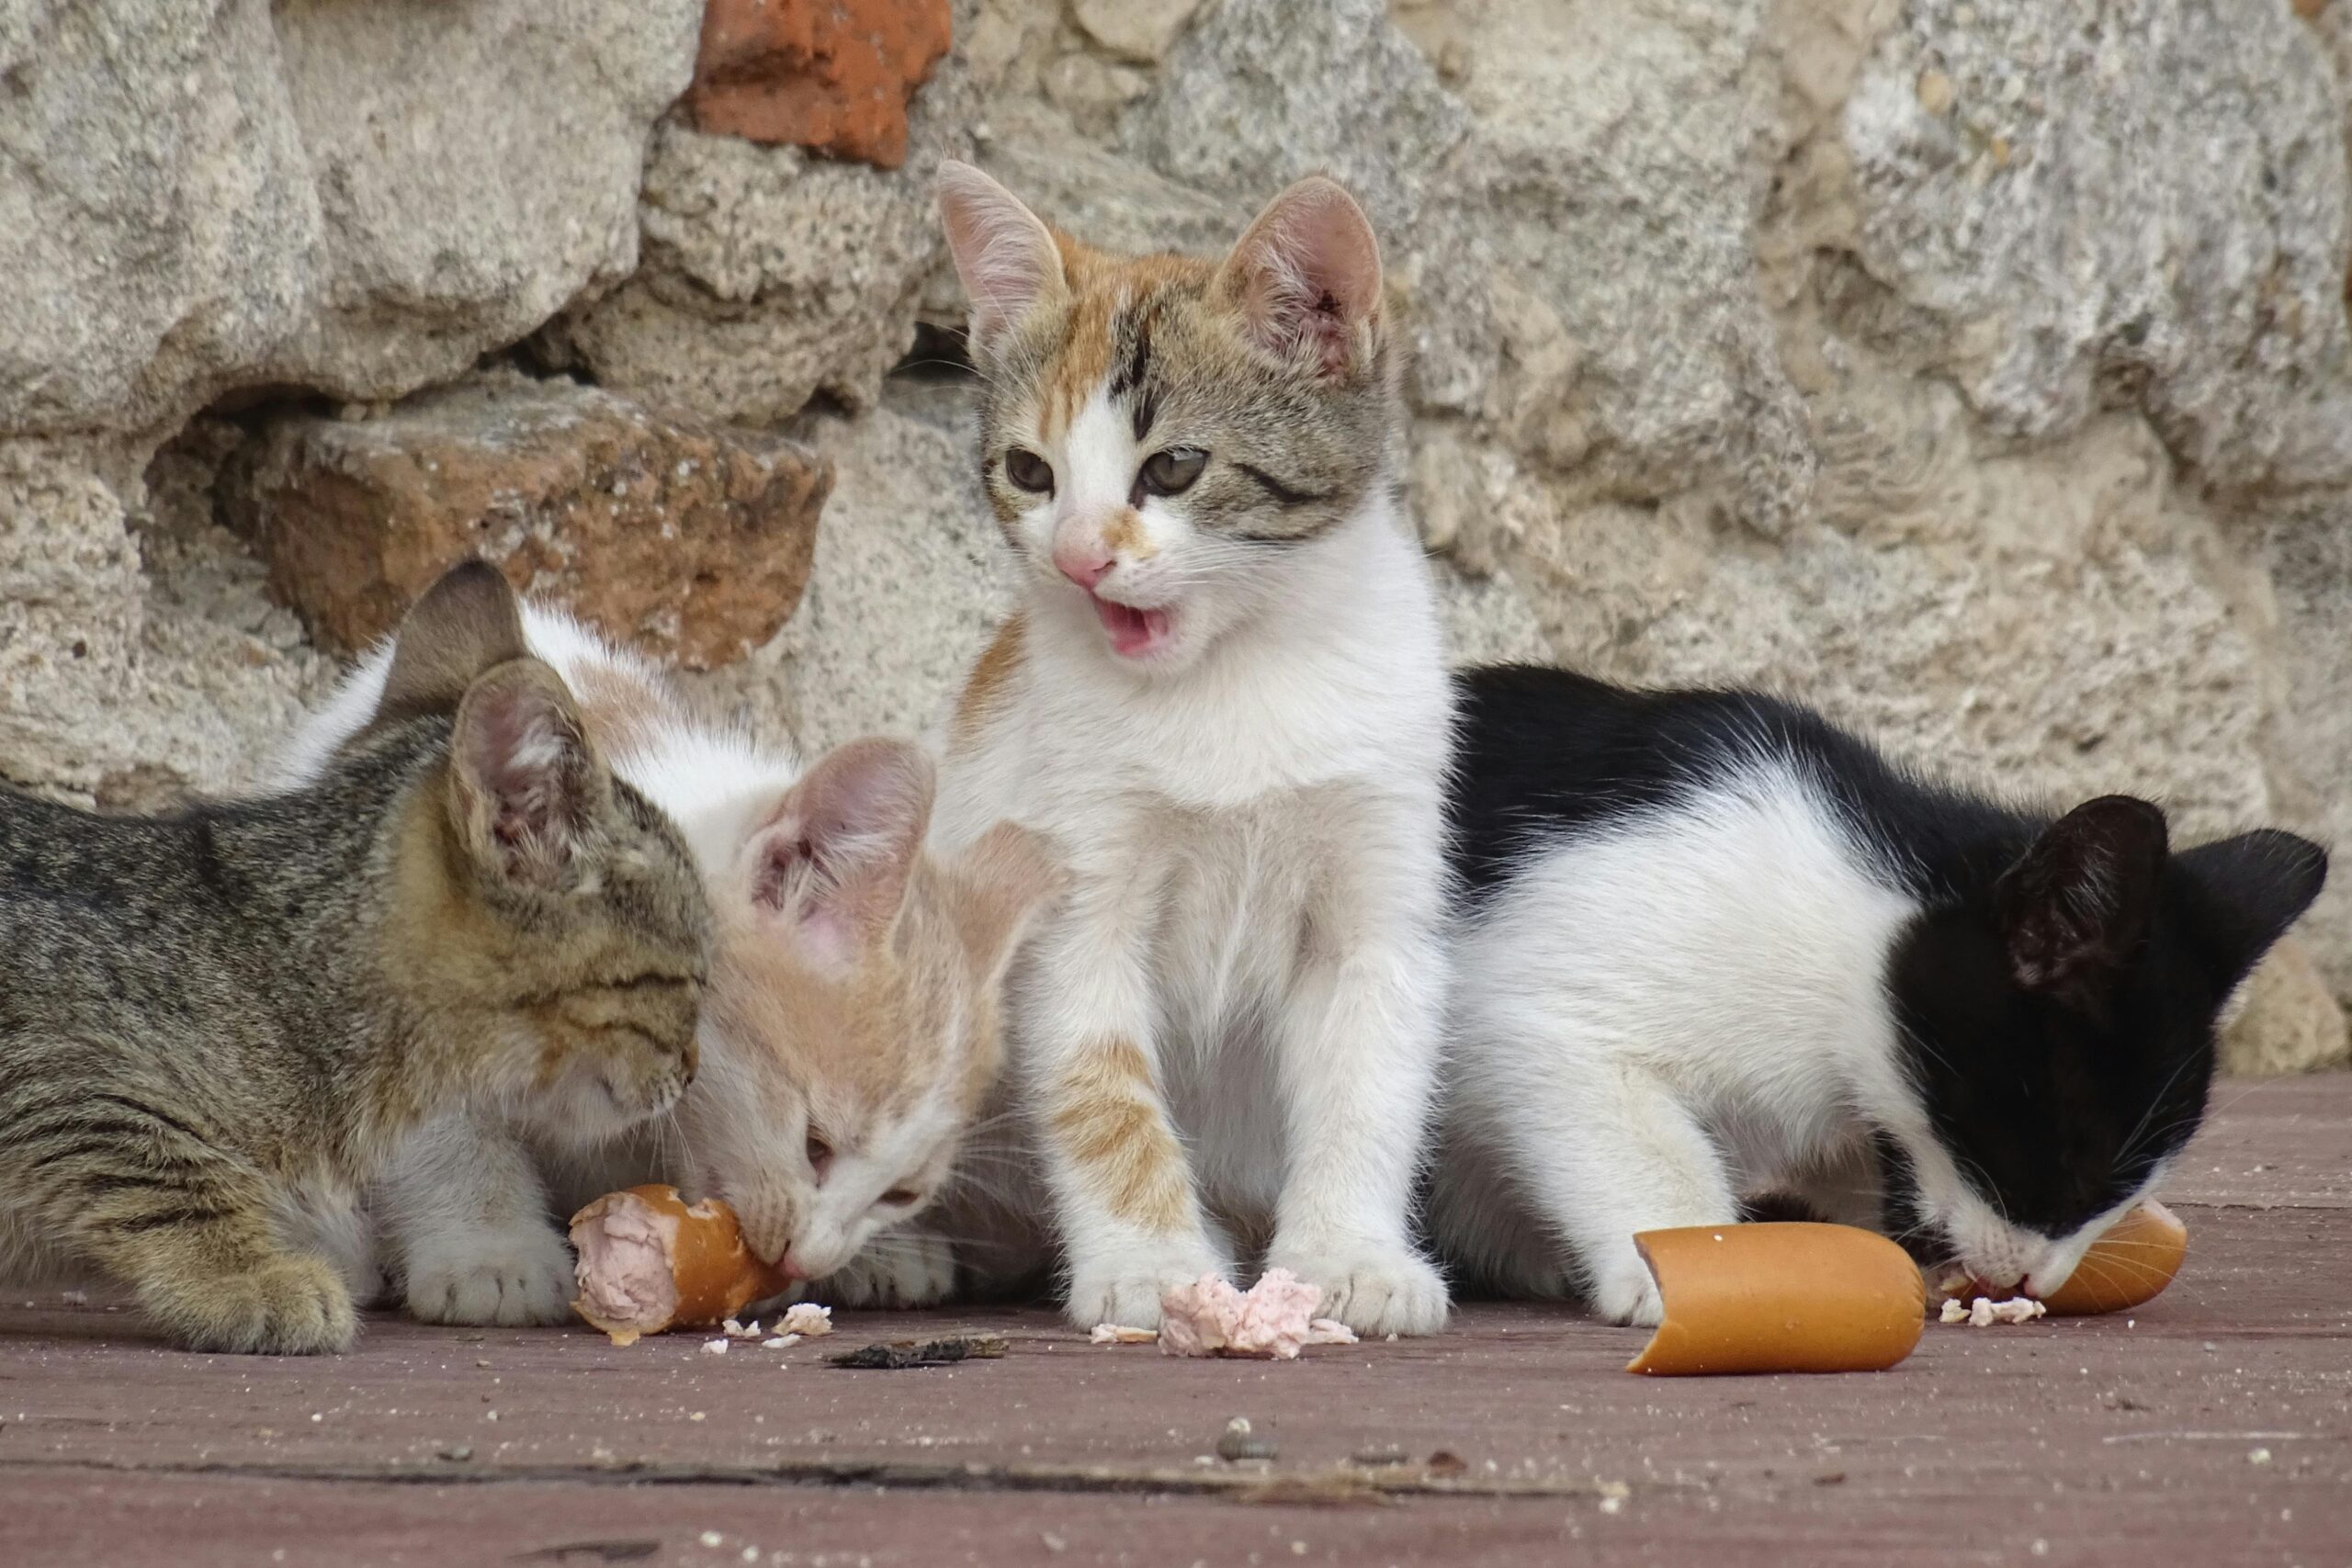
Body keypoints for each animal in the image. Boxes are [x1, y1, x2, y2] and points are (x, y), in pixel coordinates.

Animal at [279, 602, 1063, 1325]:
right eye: (815, 1144)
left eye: (902, 1193)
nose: (807, 1256)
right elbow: (441, 1125)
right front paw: (491, 1251)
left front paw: (882, 1251)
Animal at [931, 165, 1458, 1335]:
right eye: (1028, 471)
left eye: (1173, 467)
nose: (1079, 558)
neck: (1232, 676)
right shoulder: (1075, 898)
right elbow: (1098, 1085)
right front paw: (1150, 1266)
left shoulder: (1376, 888)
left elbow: (1366, 1076)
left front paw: (1351, 1255)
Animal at [1430, 662, 2333, 1325]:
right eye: (2073, 1161)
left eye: (2126, 1193)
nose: (2035, 1278)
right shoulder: (1546, 1006)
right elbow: (1625, 1121)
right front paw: (1687, 1262)